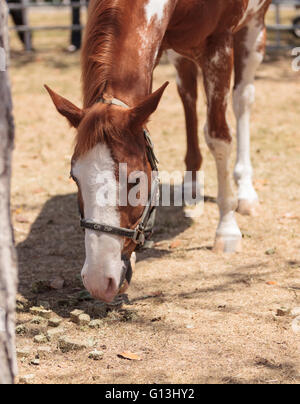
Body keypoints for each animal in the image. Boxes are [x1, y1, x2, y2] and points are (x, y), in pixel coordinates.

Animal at [45, 0, 272, 304]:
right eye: (74, 178)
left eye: (135, 180)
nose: (98, 281)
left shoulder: (220, 44)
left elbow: (218, 136)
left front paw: (227, 229)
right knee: (188, 95)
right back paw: (191, 186)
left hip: (253, 29)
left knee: (242, 99)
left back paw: (245, 193)